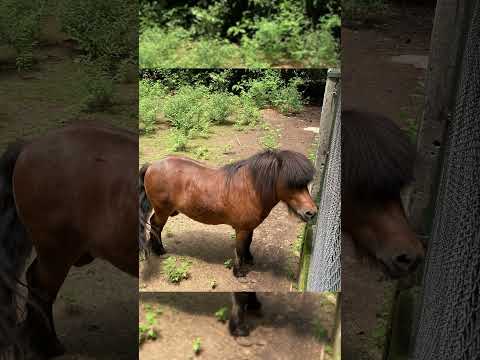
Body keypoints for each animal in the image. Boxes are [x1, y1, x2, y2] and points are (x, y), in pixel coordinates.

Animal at [140, 149, 318, 276]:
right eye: (290, 183)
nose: (312, 212)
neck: (250, 188)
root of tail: (152, 165)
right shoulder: (241, 229)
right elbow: (239, 248)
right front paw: (239, 271)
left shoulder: (248, 227)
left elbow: (248, 243)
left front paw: (249, 259)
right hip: (163, 210)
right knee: (156, 226)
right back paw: (159, 250)